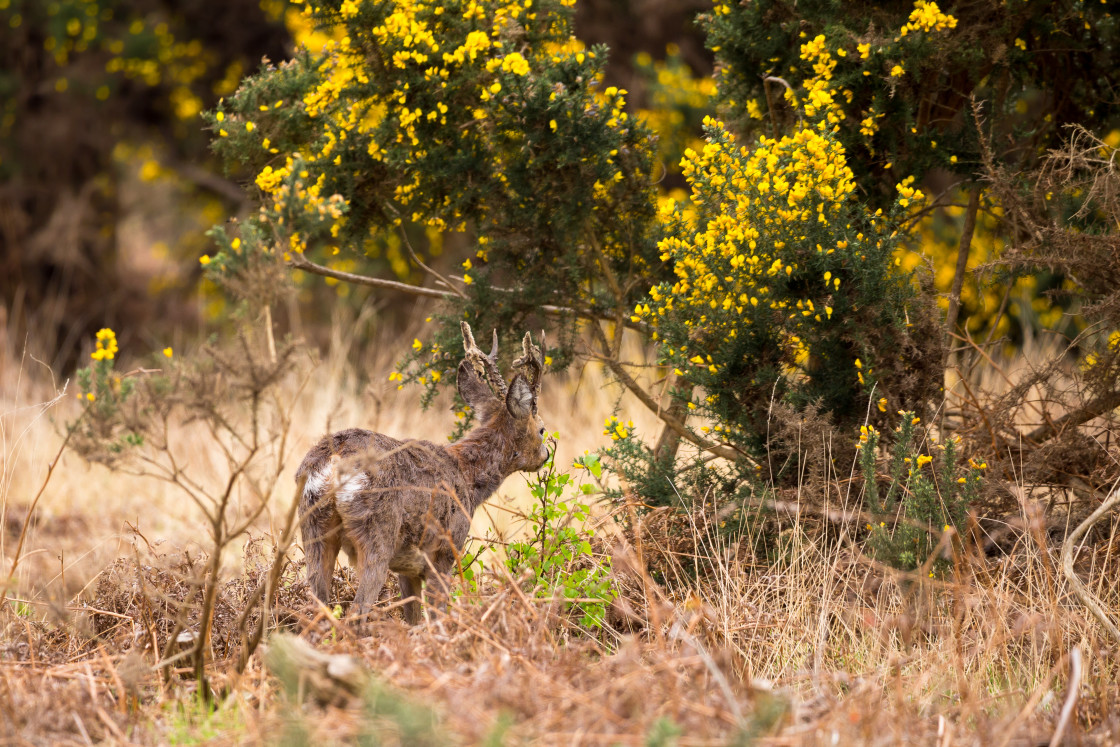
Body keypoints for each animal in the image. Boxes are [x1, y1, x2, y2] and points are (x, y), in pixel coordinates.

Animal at [293, 324, 546, 622]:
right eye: (541, 429)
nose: (546, 454)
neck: (468, 478)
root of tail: (333, 463)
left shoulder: (407, 569)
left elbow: (413, 619)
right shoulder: (445, 552)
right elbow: (436, 617)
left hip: (313, 526)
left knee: (318, 605)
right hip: (377, 533)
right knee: (357, 611)